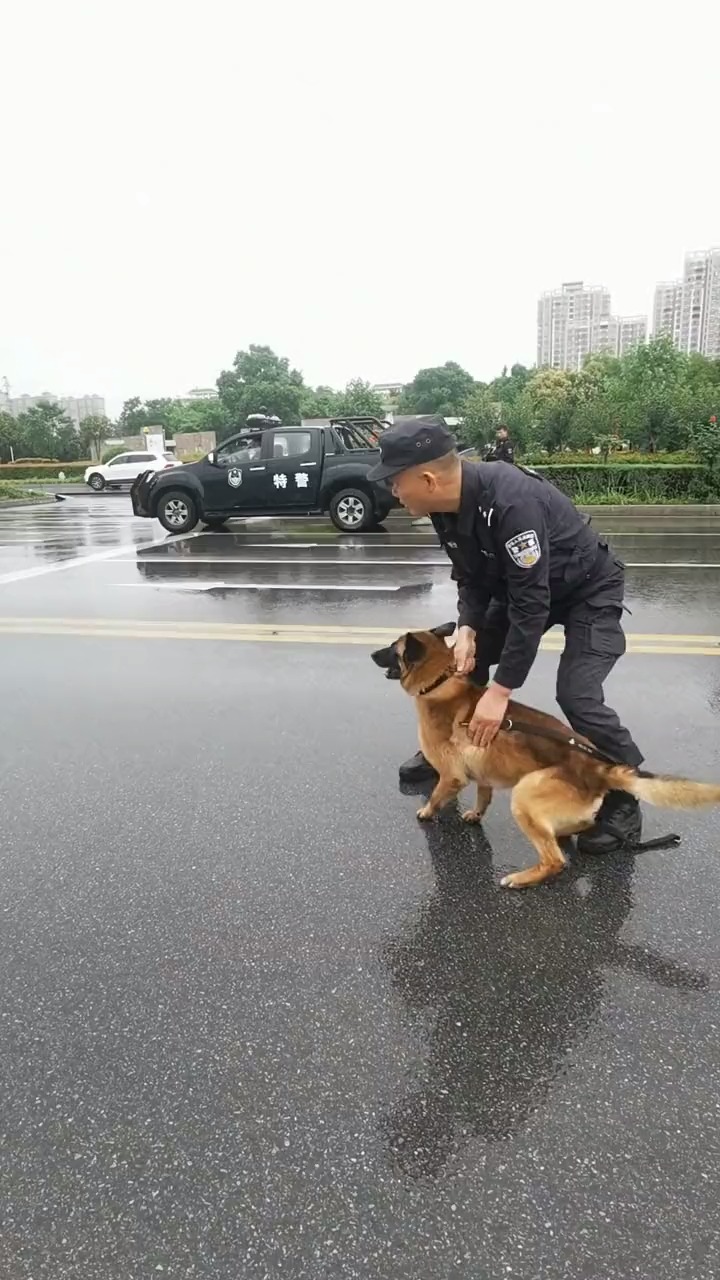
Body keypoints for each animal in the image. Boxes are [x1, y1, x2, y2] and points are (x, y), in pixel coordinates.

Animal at [371, 622, 717, 885]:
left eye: (391, 648)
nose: (371, 653)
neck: (441, 681)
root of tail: (598, 768)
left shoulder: (451, 776)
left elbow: (436, 795)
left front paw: (427, 812)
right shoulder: (483, 771)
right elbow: (483, 795)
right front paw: (476, 814)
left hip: (525, 793)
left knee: (555, 861)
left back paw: (521, 878)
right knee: (573, 830)